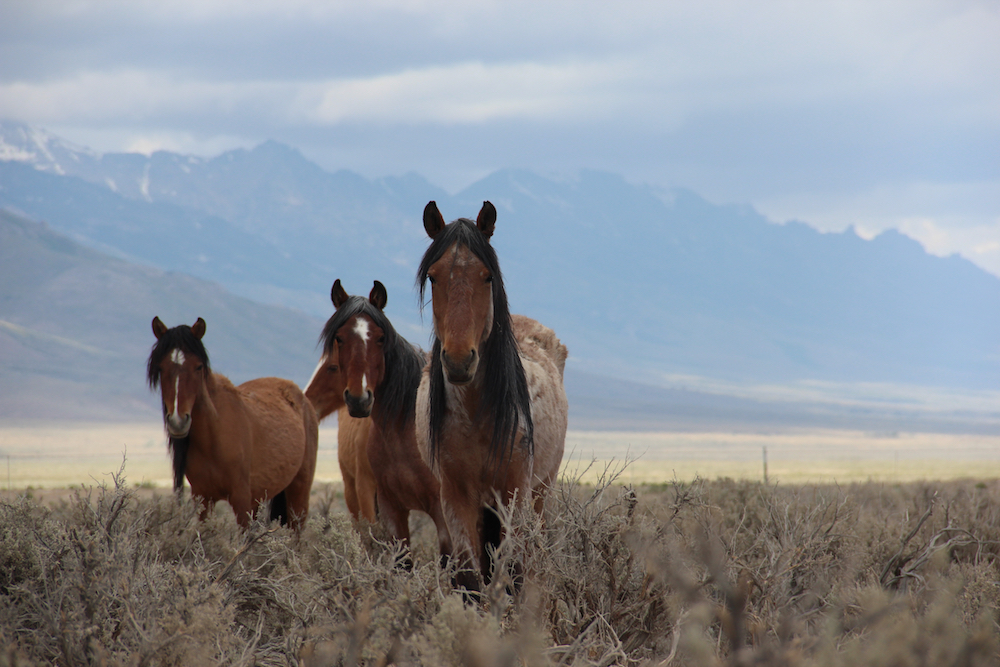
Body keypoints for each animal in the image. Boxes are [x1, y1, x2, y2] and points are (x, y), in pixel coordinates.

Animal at [146, 318, 318, 532]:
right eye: (161, 368)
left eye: (198, 367)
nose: (178, 421)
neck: (213, 437)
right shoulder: (203, 499)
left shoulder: (241, 498)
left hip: (298, 491)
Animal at [416, 200, 572, 588]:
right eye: (433, 276)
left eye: (487, 276)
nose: (458, 360)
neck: (475, 417)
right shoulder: (455, 497)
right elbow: (471, 577)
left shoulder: (514, 493)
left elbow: (514, 569)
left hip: (542, 491)